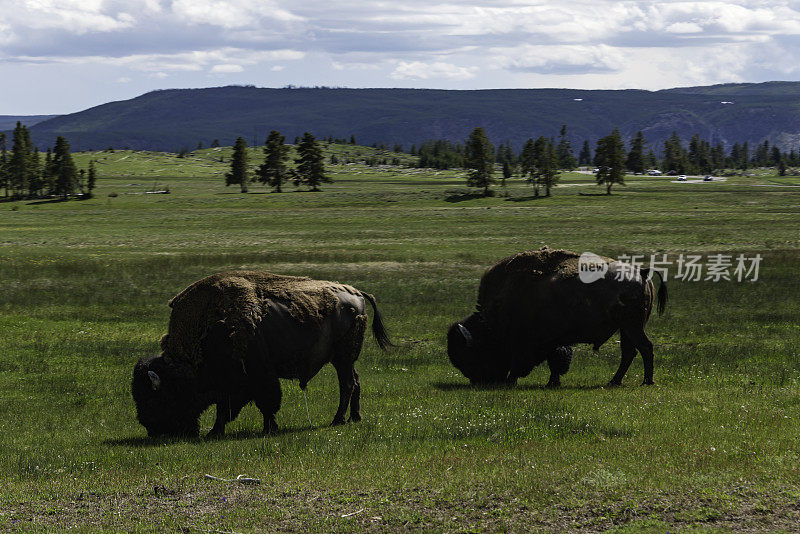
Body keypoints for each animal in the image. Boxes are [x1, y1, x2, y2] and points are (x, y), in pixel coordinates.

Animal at [133, 272, 392, 440]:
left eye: (155, 399)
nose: (152, 429)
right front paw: (215, 431)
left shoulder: (258, 377)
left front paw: (269, 429)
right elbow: (225, 408)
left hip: (343, 359)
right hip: (344, 360)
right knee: (355, 381)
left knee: (347, 384)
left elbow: (265, 403)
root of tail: (357, 293)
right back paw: (355, 417)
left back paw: (337, 420)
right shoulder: (229, 385)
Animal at [446, 247, 664, 390]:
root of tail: (642, 273)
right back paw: (614, 381)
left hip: (632, 326)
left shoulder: (528, 343)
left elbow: (531, 363)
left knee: (644, 348)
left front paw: (512, 381)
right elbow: (555, 362)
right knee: (630, 352)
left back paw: (647, 381)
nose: (479, 381)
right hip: (626, 328)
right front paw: (553, 383)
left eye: (470, 354)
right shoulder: (553, 341)